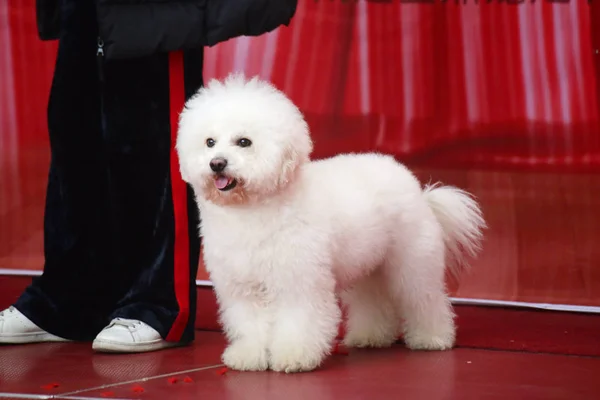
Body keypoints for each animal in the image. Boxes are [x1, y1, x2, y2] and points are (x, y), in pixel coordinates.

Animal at [176, 73, 486, 374]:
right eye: (210, 142)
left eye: (244, 142)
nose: (217, 163)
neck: (252, 211)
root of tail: (418, 190)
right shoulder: (242, 287)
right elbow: (250, 324)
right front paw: (249, 356)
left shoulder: (298, 281)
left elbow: (298, 321)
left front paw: (293, 356)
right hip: (368, 267)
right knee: (373, 302)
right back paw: (371, 336)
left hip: (412, 264)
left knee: (425, 299)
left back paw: (432, 338)